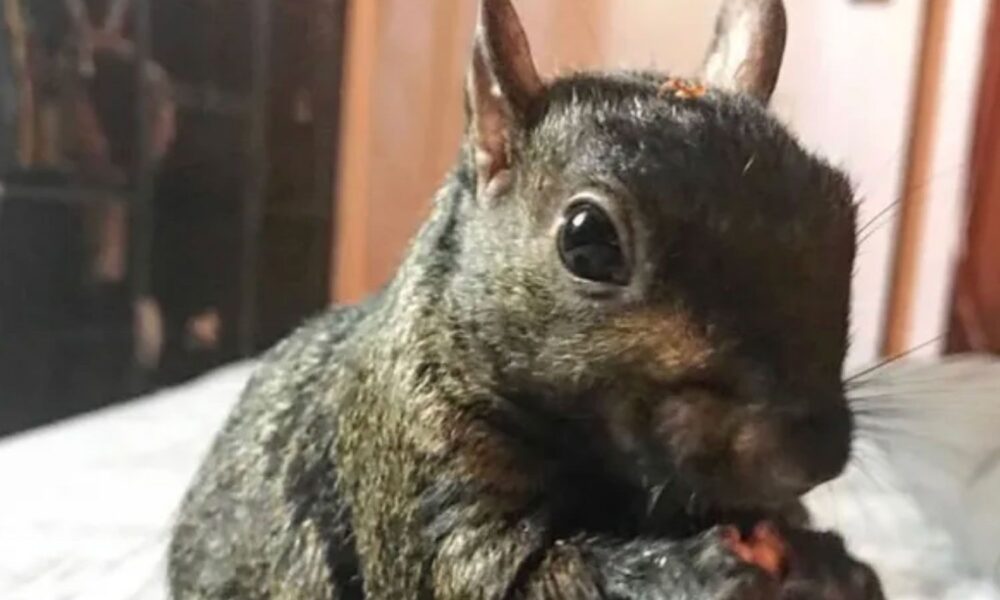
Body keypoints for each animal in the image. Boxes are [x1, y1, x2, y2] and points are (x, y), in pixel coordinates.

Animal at [169, 0, 885, 598]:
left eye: (842, 210)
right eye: (587, 241)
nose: (809, 454)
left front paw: (833, 564)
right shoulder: (412, 455)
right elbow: (499, 576)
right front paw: (694, 568)